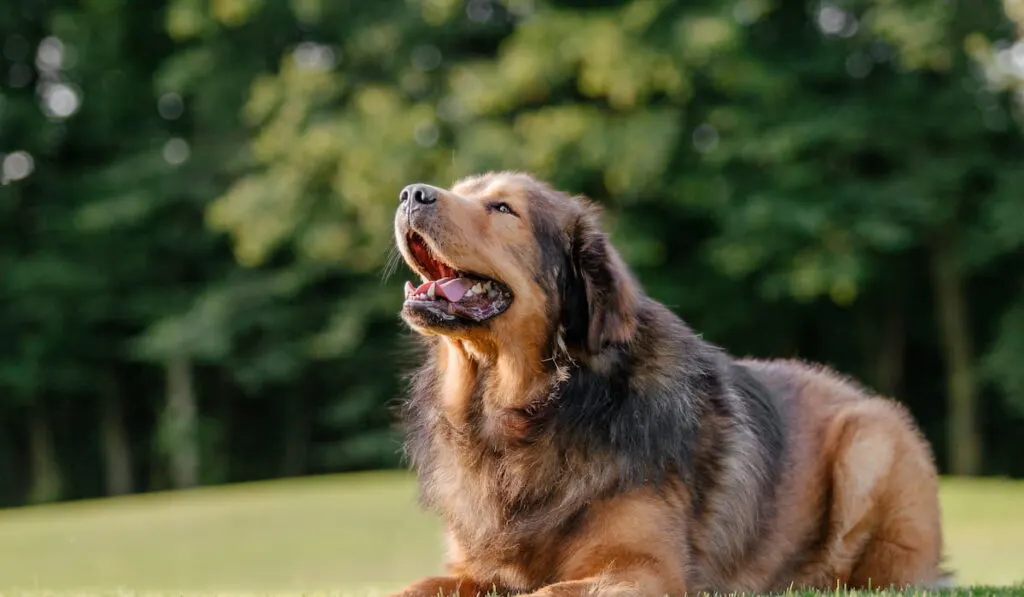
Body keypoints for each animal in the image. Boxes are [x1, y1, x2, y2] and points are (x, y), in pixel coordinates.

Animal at [389, 171, 942, 593]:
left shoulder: (641, 569)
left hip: (868, 441)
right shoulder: (471, 568)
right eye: (462, 189)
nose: (411, 193)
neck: (532, 408)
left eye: (502, 208)